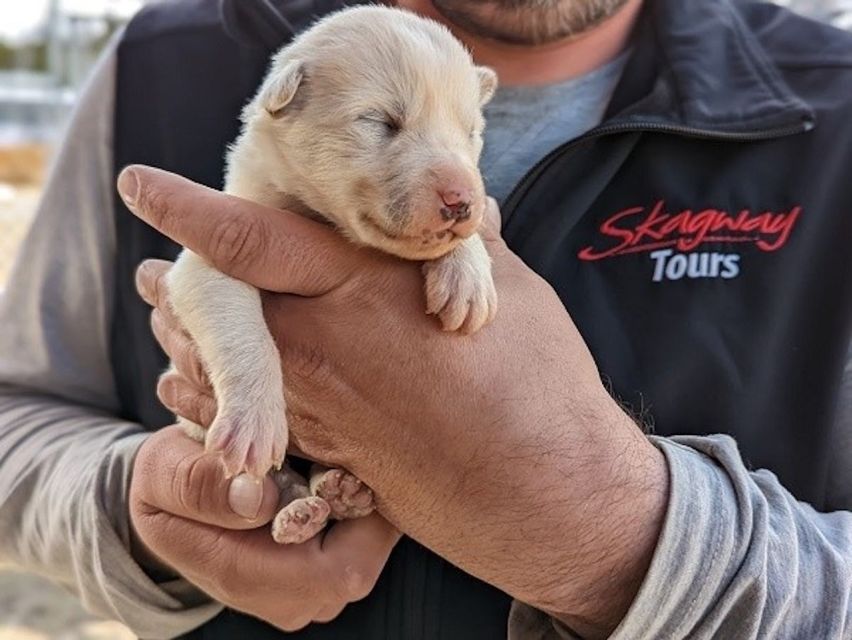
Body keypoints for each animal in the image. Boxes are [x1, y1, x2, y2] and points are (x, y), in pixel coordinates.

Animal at [166, 5, 496, 544]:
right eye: (381, 121)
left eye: (471, 132)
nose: (461, 200)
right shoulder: (208, 252)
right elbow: (239, 326)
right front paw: (255, 422)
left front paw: (467, 278)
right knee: (283, 478)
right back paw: (297, 511)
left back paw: (340, 492)